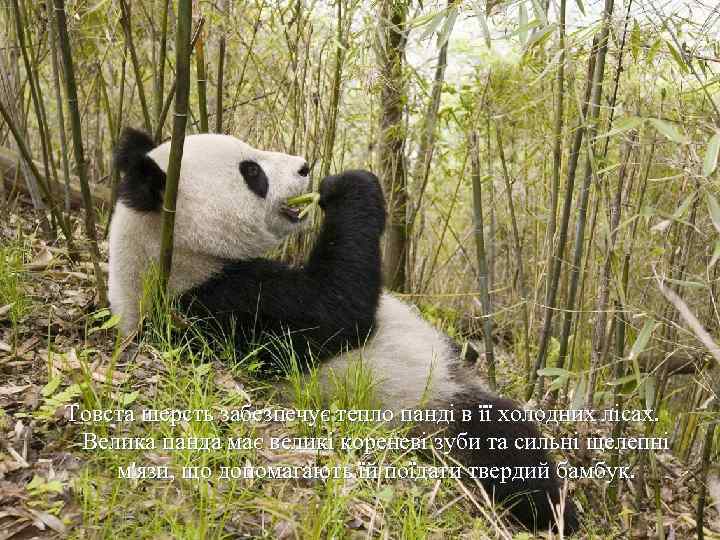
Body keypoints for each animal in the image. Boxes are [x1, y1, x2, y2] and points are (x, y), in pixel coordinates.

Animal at [108, 127, 580, 536]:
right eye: (252, 172)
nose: (305, 167)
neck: (170, 257)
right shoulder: (222, 308)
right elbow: (336, 309)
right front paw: (348, 186)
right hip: (427, 410)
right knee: (502, 445)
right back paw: (556, 513)